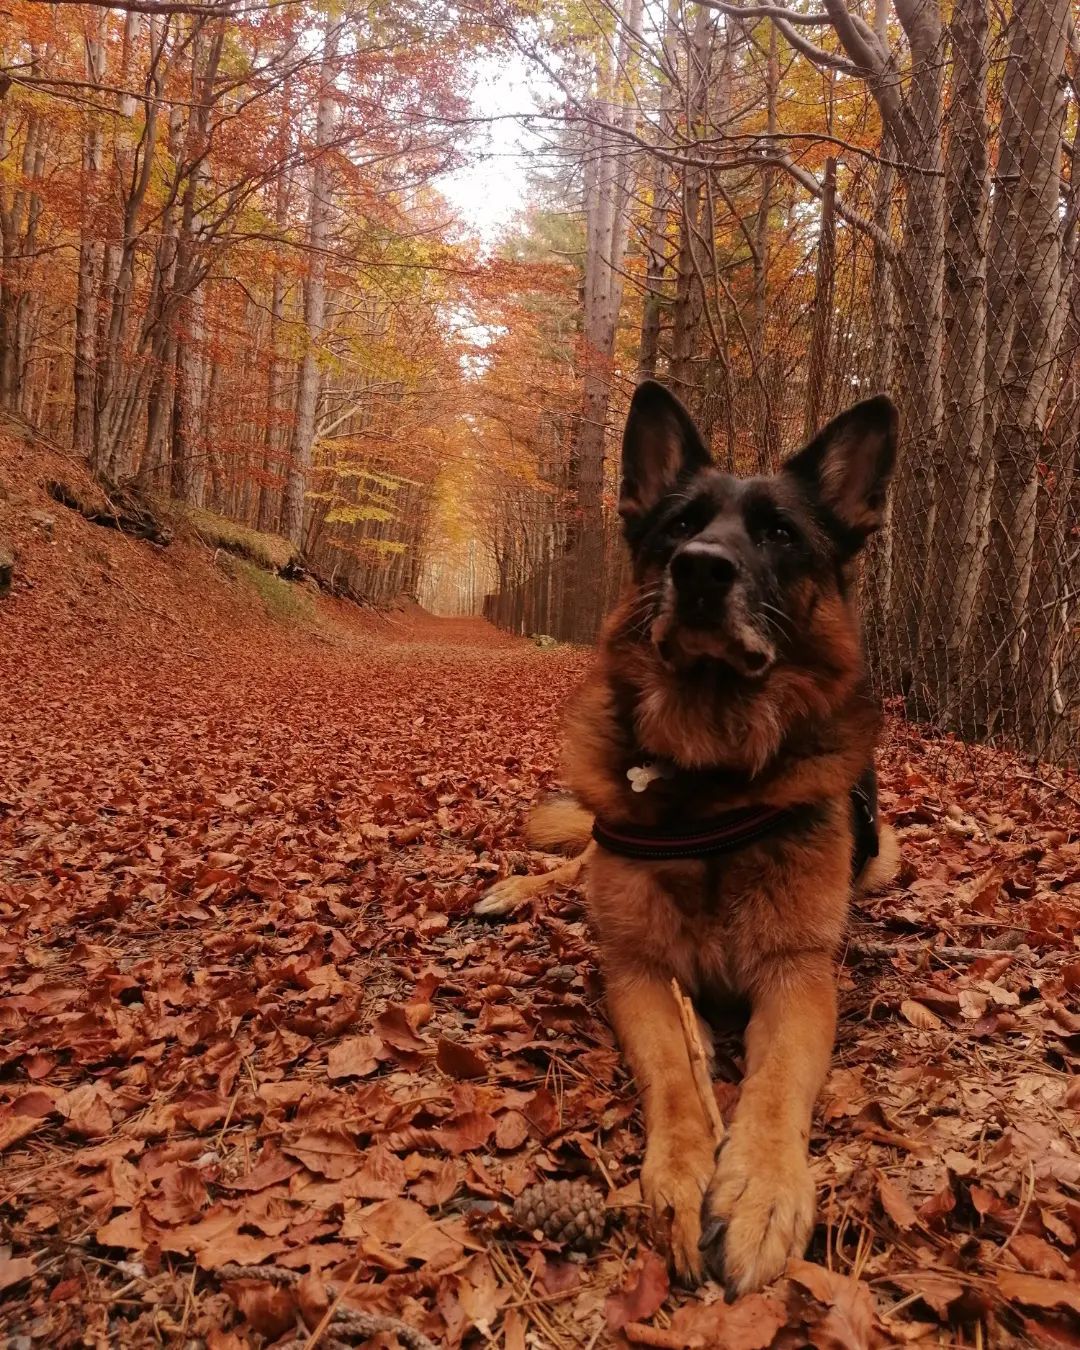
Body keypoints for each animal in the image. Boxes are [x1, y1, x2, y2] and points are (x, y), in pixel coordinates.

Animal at [477, 380, 896, 1296]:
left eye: (780, 533)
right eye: (678, 524)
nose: (700, 568)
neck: (713, 785)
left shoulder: (799, 978)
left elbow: (775, 1083)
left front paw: (760, 1191)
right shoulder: (639, 970)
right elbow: (675, 1069)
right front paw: (681, 1175)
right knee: (577, 862)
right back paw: (514, 889)